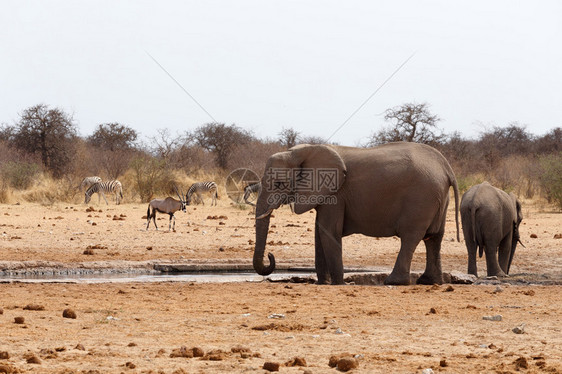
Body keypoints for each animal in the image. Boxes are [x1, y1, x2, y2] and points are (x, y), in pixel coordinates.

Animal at [252, 142, 458, 284]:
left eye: (279, 184)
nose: (270, 256)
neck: (302, 151)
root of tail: (446, 168)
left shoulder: (336, 194)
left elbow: (328, 232)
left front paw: (338, 284)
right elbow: (320, 233)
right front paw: (324, 283)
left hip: (420, 199)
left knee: (410, 237)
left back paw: (394, 282)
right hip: (438, 198)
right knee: (434, 238)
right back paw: (429, 281)